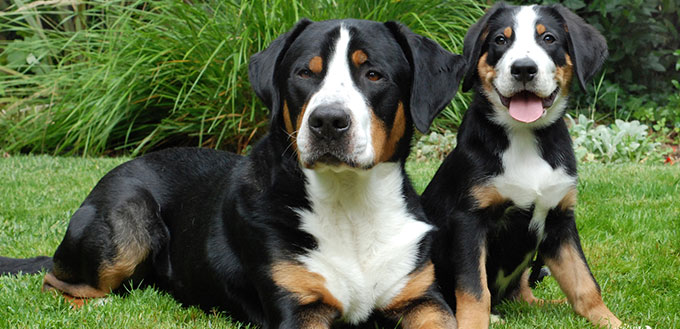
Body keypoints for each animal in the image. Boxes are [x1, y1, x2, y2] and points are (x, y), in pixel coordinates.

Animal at [0, 18, 468, 328]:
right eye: (305, 72)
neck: (351, 207)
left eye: (374, 74)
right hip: (126, 222)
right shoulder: (299, 308)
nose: (328, 122)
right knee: (56, 283)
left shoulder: (422, 299)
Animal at [422, 3, 624, 328]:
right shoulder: (469, 220)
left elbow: (584, 283)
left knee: (525, 294)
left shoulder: (560, 220)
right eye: (501, 40)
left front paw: (613, 322)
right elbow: (474, 289)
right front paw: (474, 322)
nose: (524, 69)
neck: (524, 136)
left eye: (549, 38)